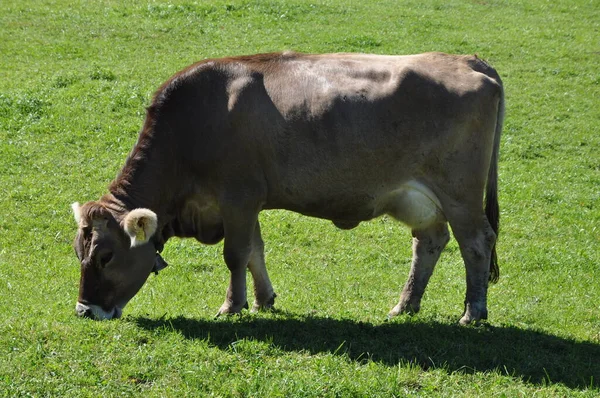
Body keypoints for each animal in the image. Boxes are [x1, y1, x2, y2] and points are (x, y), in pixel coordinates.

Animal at [70, 51, 502, 324]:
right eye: (79, 252)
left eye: (106, 256)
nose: (85, 311)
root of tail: (467, 60)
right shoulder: (247, 202)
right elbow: (254, 252)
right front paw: (263, 300)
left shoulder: (238, 197)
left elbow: (235, 255)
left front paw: (232, 306)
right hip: (419, 198)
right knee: (429, 242)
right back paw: (405, 306)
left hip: (460, 193)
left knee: (476, 242)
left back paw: (473, 311)